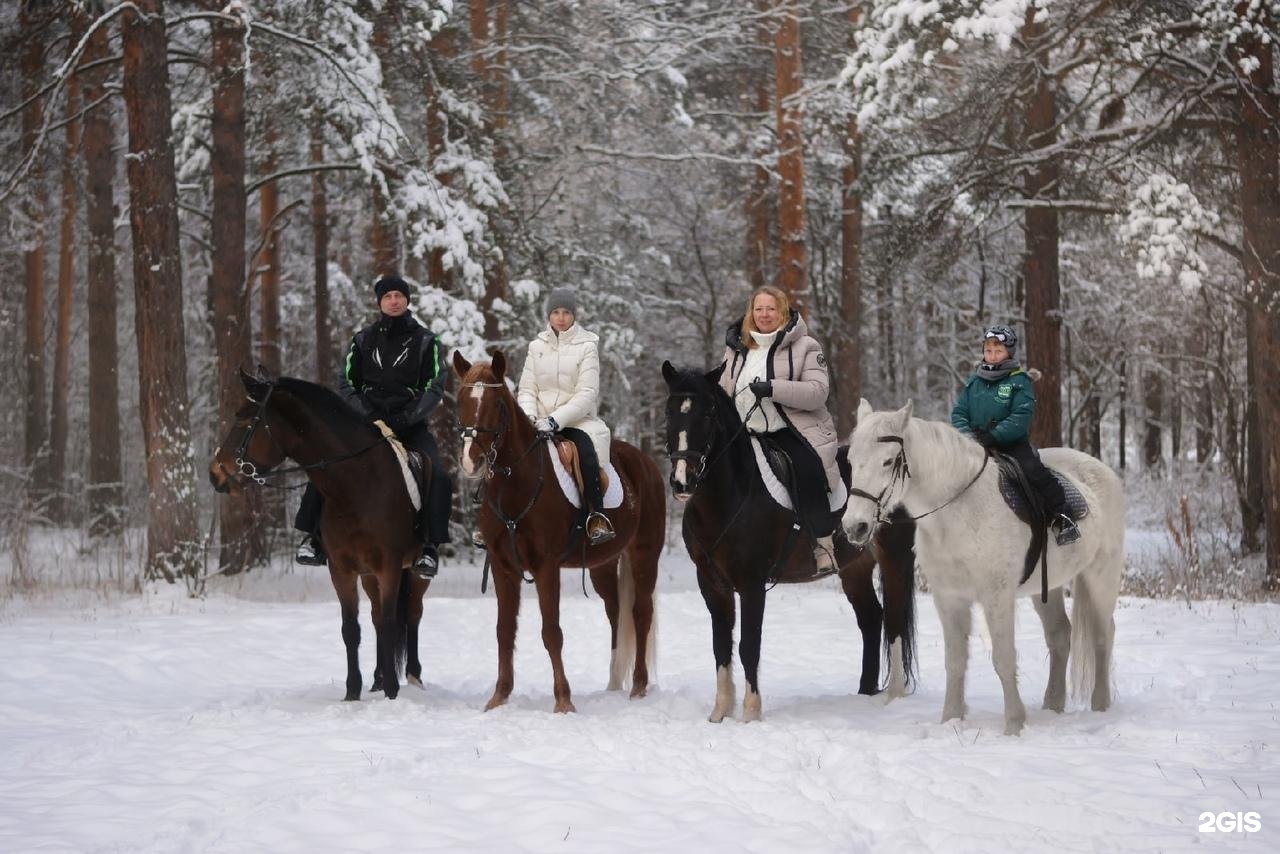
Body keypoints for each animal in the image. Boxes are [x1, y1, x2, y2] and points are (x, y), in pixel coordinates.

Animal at [209, 371, 430, 701]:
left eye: (243, 418)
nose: (215, 474)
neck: (356, 484)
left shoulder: (389, 568)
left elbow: (392, 625)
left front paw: (392, 691)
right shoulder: (341, 570)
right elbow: (352, 629)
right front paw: (353, 692)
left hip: (414, 572)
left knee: (413, 614)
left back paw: (413, 677)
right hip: (368, 576)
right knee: (377, 618)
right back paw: (377, 680)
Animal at [453, 350, 670, 711]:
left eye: (497, 404)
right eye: (460, 400)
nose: (472, 461)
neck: (516, 485)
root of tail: (644, 461)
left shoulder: (546, 567)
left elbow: (551, 632)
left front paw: (563, 701)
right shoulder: (502, 567)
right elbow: (504, 630)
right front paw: (499, 697)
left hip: (644, 555)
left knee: (640, 613)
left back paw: (638, 686)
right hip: (603, 565)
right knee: (615, 612)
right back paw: (613, 683)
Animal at [660, 361, 921, 722]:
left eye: (708, 413)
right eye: (669, 412)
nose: (682, 481)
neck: (733, 494)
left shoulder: (752, 583)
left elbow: (748, 645)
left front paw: (751, 713)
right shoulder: (711, 583)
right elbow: (721, 645)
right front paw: (720, 713)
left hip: (895, 561)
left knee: (894, 622)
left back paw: (891, 696)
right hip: (854, 568)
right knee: (871, 619)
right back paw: (864, 693)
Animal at [839, 402, 1121, 737]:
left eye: (888, 461)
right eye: (851, 461)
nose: (854, 526)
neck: (959, 509)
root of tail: (1101, 469)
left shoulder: (996, 596)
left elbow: (1003, 658)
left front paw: (1014, 725)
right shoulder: (949, 598)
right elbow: (955, 661)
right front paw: (951, 719)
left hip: (1101, 577)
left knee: (1103, 635)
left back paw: (1101, 705)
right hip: (1047, 588)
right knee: (1060, 636)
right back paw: (1053, 704)